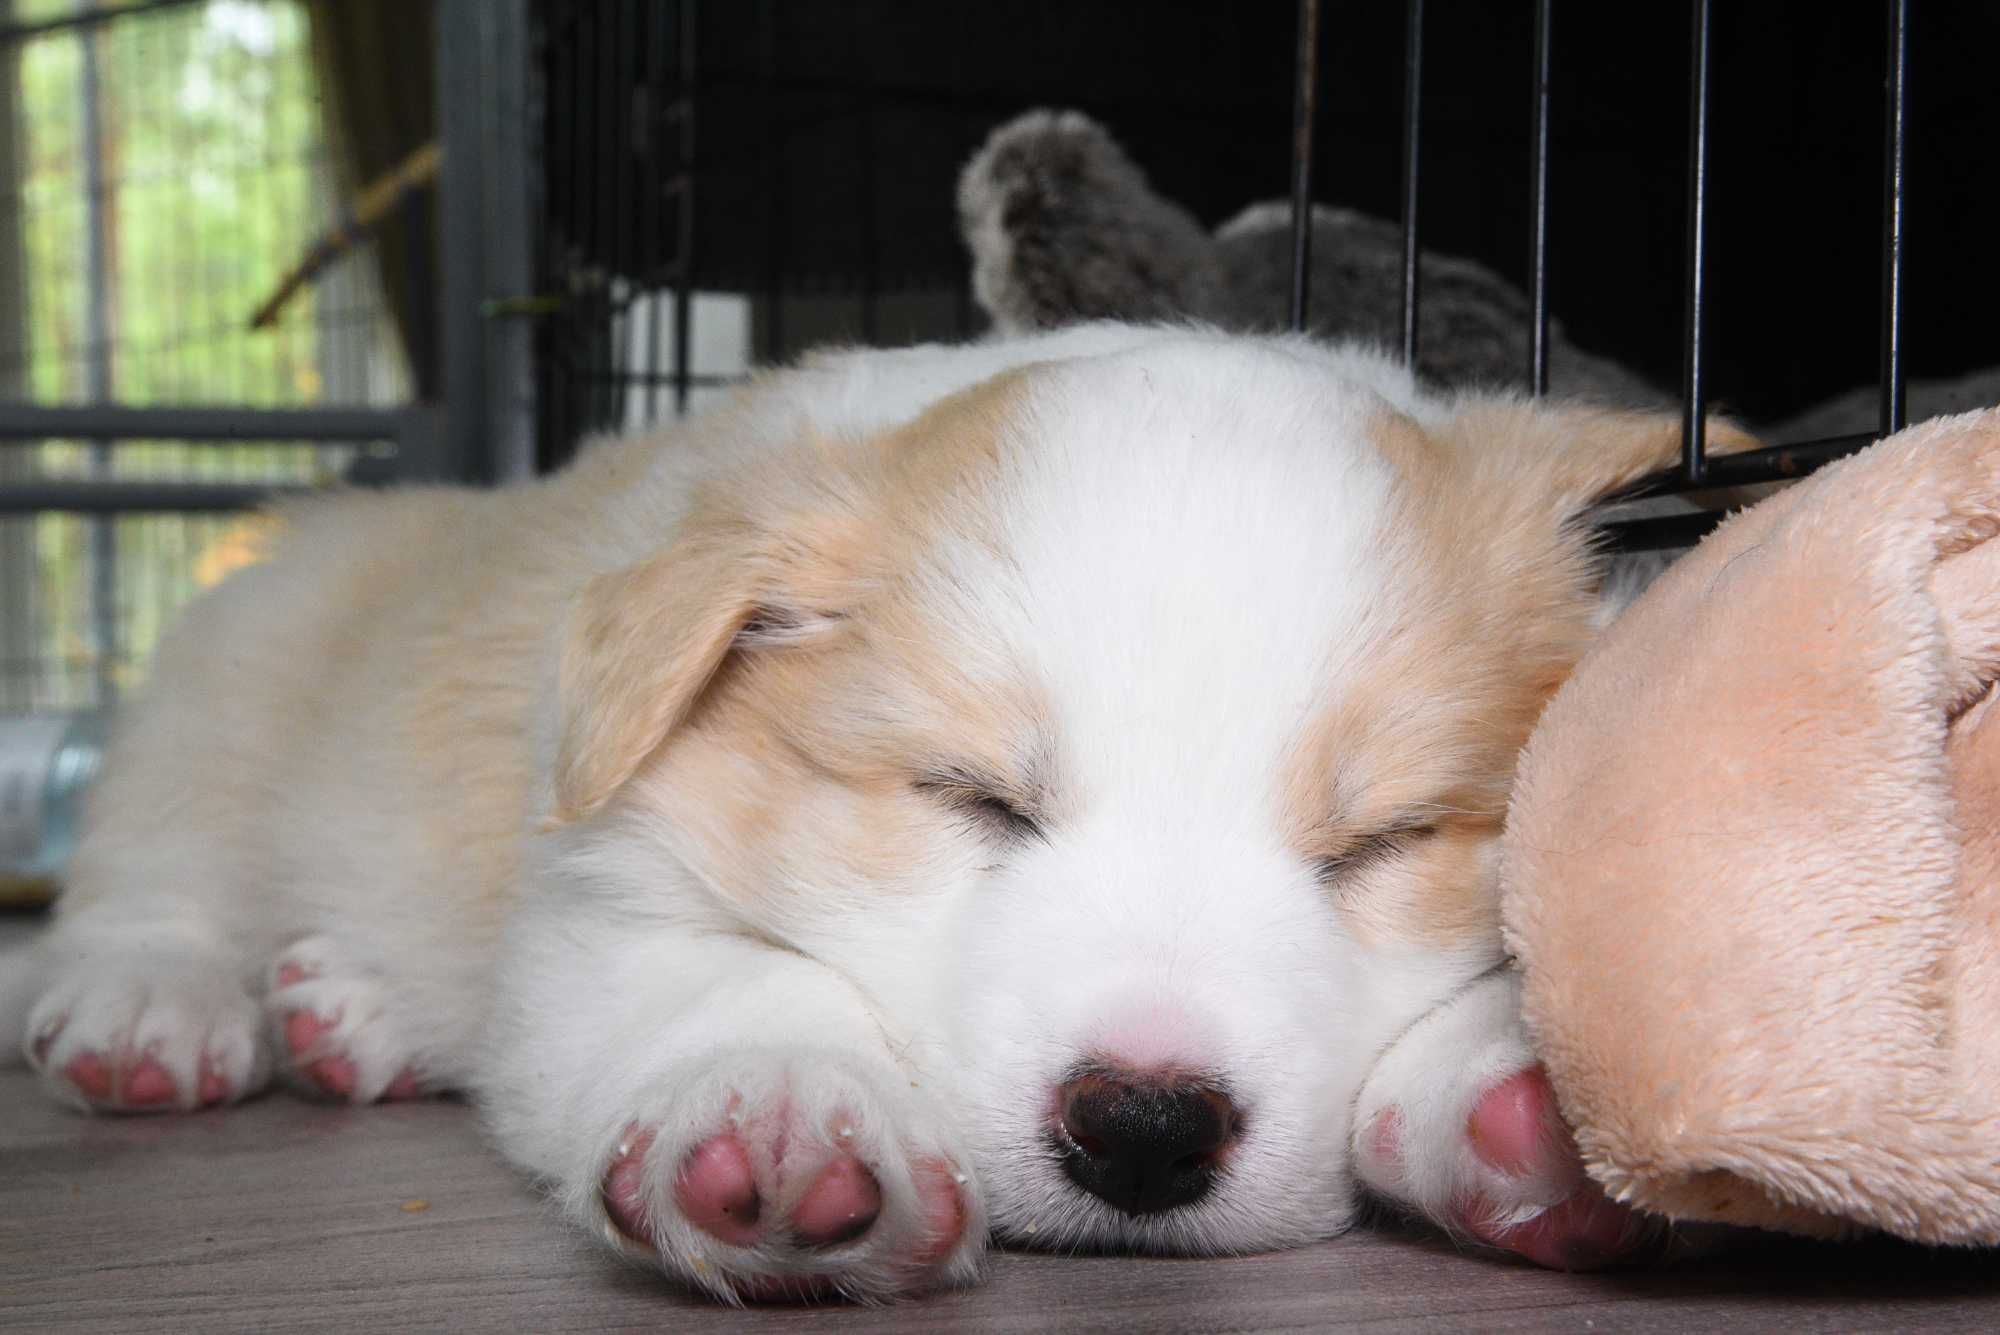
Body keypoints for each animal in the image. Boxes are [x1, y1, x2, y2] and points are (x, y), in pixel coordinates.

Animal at [0, 325, 1744, 1303]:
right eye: (968, 797)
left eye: (1382, 843)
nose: (1143, 1128)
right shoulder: (595, 905)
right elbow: (730, 981)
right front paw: (781, 1111)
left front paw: (1528, 1100)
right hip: (245, 653)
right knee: (159, 858)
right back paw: (153, 1009)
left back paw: (345, 1007)